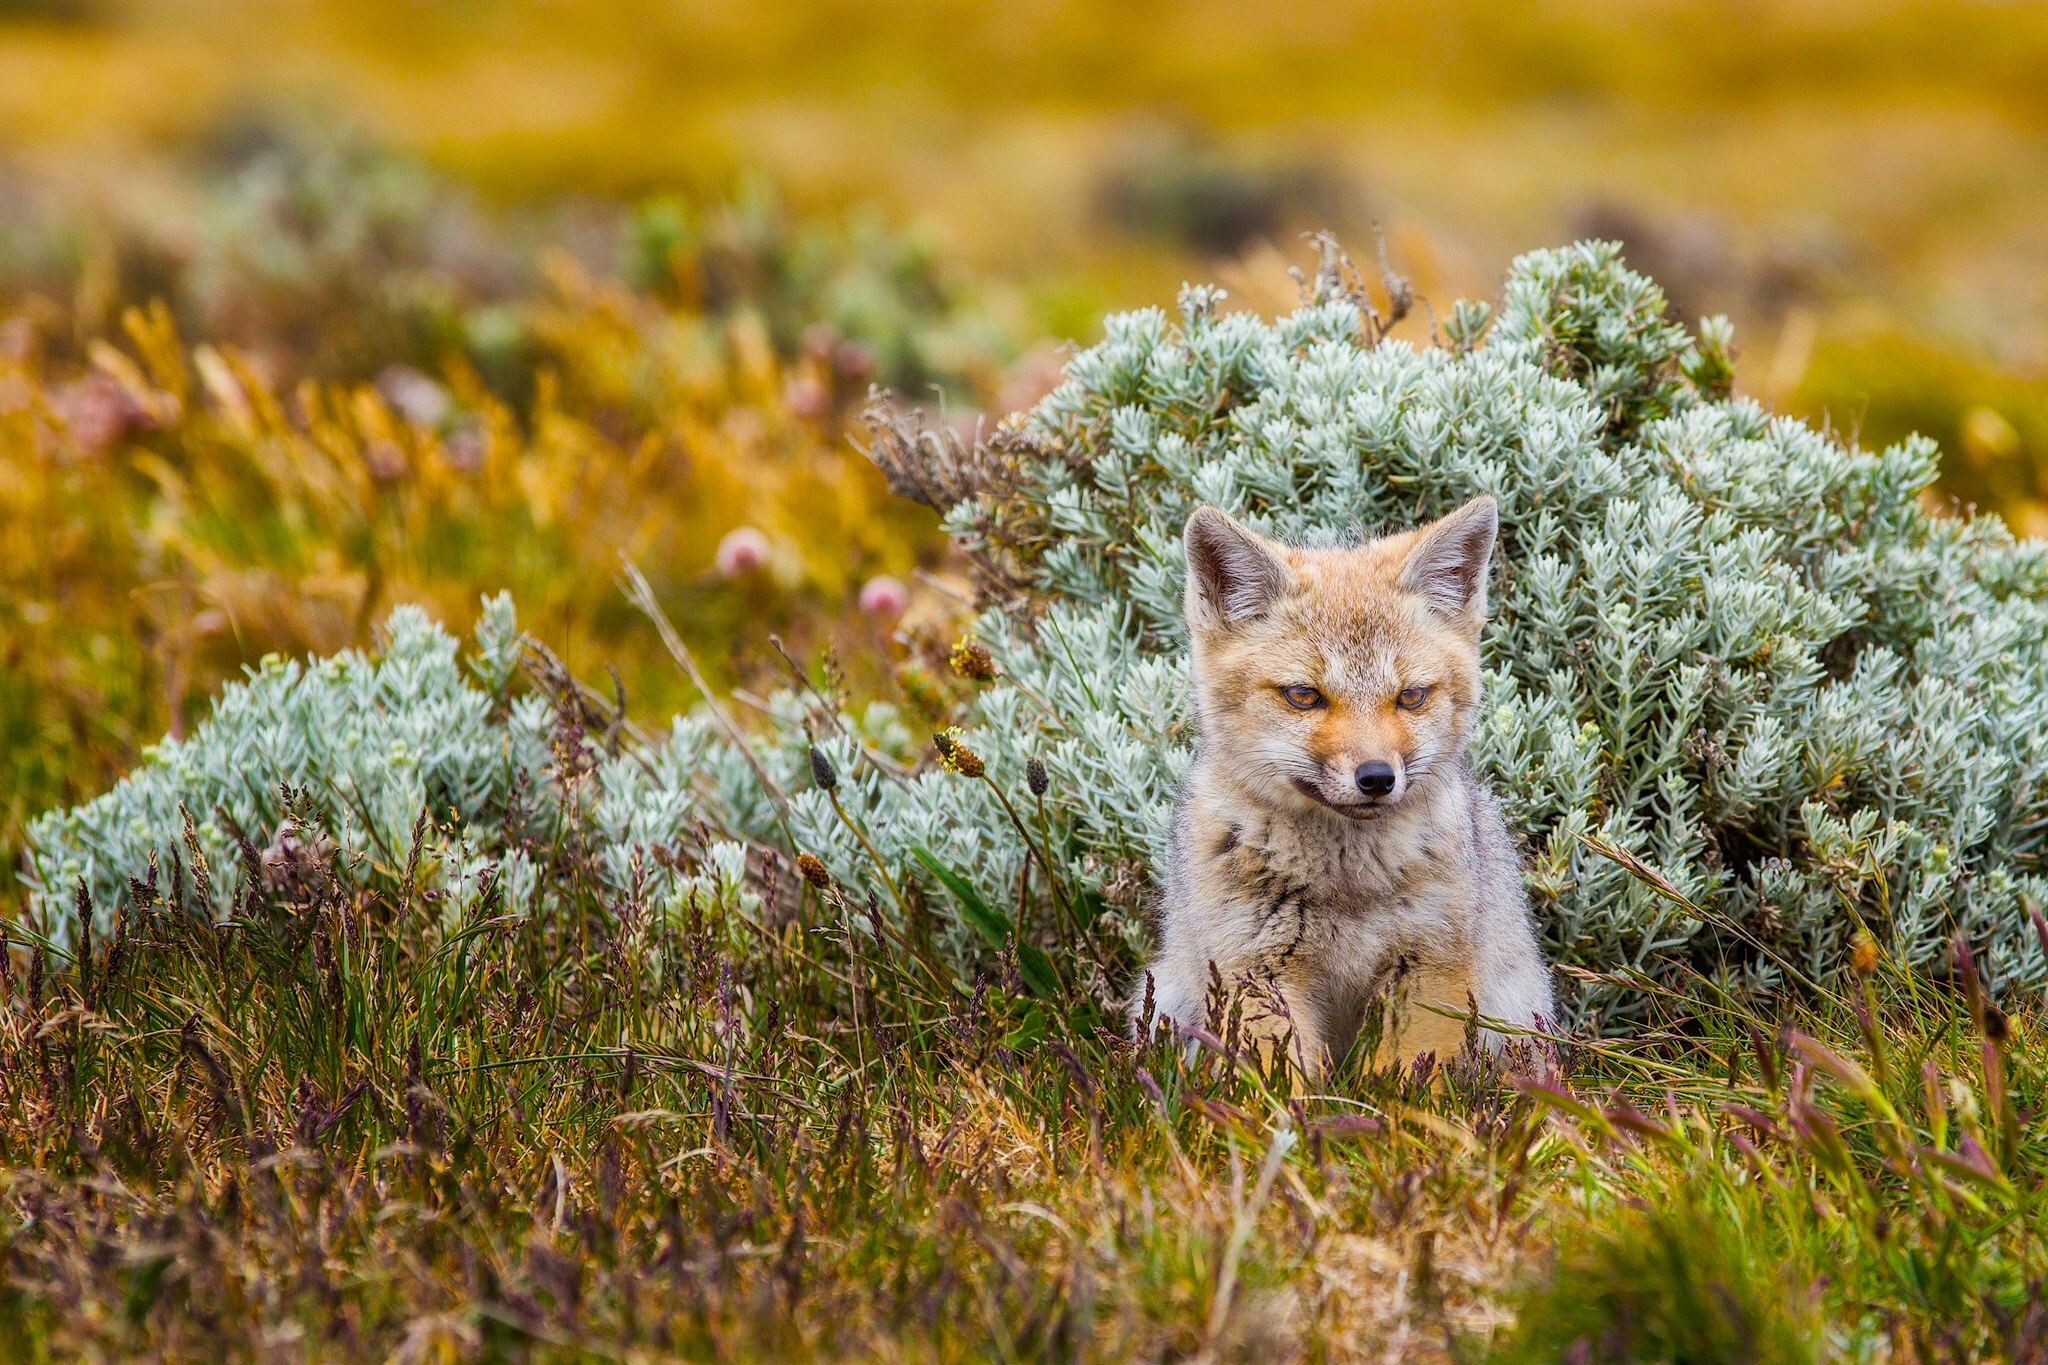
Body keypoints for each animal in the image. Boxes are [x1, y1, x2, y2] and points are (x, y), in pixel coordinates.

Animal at [1155, 497, 1548, 1080]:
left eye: (1411, 696)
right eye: (1303, 696)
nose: (1378, 778)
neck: (1346, 888)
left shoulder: (1428, 969)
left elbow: (1405, 1085)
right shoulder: (1256, 971)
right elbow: (1282, 1086)